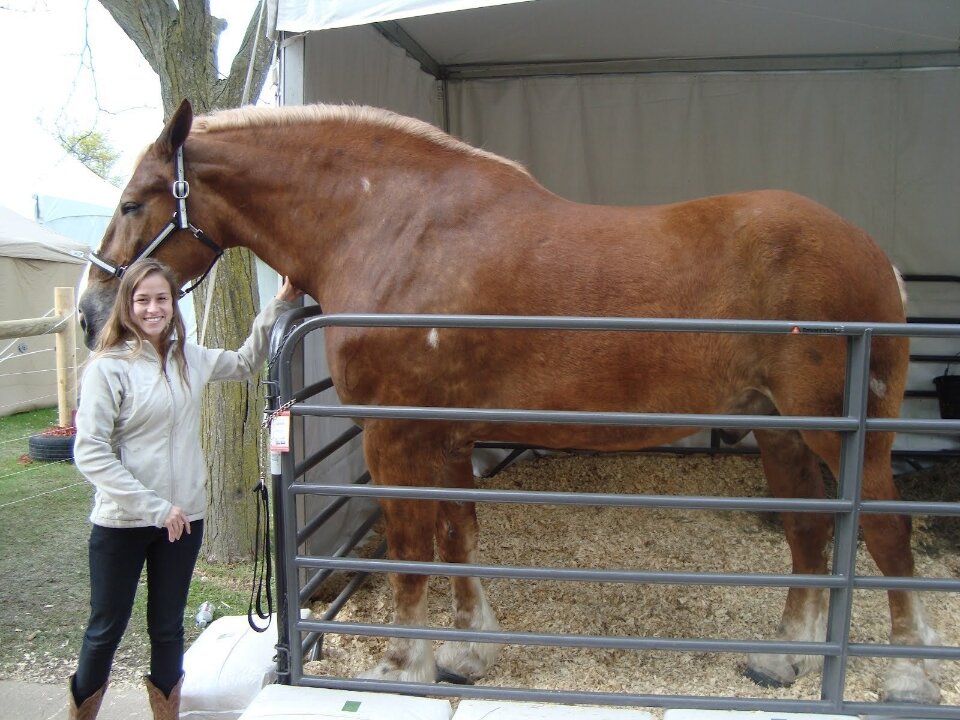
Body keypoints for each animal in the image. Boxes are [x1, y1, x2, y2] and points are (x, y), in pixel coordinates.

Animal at [79, 100, 940, 704]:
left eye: (132, 202)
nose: (92, 314)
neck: (393, 226)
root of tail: (874, 257)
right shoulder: (449, 435)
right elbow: (459, 534)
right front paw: (467, 651)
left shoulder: (397, 434)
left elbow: (411, 547)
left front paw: (405, 663)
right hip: (781, 429)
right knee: (809, 532)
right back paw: (782, 658)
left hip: (845, 434)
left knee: (886, 534)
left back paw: (905, 676)